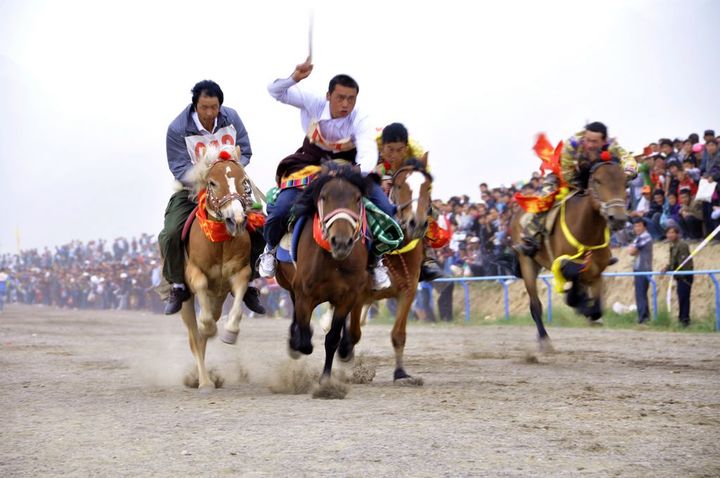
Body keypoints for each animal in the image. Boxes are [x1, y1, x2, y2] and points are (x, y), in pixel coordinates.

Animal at [179, 145, 253, 388]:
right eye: (212, 183)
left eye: (244, 180)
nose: (237, 219)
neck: (219, 241)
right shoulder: (193, 272)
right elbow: (201, 283)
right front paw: (208, 326)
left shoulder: (240, 272)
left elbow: (238, 304)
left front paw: (230, 332)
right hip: (185, 302)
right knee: (195, 338)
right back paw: (203, 381)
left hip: (218, 300)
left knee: (202, 339)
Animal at [272, 163, 368, 380]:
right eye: (324, 196)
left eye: (358, 198)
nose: (341, 241)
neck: (333, 260)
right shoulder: (304, 294)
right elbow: (305, 340)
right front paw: (298, 340)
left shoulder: (347, 296)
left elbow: (331, 338)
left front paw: (325, 378)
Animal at [362, 153, 430, 384]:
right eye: (399, 186)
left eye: (427, 187)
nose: (416, 223)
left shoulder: (408, 290)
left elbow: (398, 334)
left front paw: (401, 373)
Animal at [510, 161, 628, 352]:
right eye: (598, 181)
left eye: (625, 182)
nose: (618, 218)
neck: (587, 231)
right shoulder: (564, 262)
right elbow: (572, 274)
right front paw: (578, 303)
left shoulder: (597, 272)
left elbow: (596, 308)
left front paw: (585, 307)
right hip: (527, 261)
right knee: (535, 305)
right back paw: (544, 339)